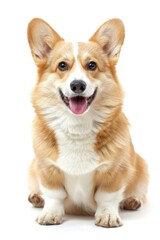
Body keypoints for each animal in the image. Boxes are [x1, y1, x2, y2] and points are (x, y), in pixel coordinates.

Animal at [26, 17, 148, 227]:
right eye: (62, 66)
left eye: (92, 65)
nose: (78, 85)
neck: (77, 127)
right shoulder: (46, 168)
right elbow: (54, 194)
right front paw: (50, 213)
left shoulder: (115, 170)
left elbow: (107, 196)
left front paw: (107, 216)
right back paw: (37, 198)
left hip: (142, 166)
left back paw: (132, 201)